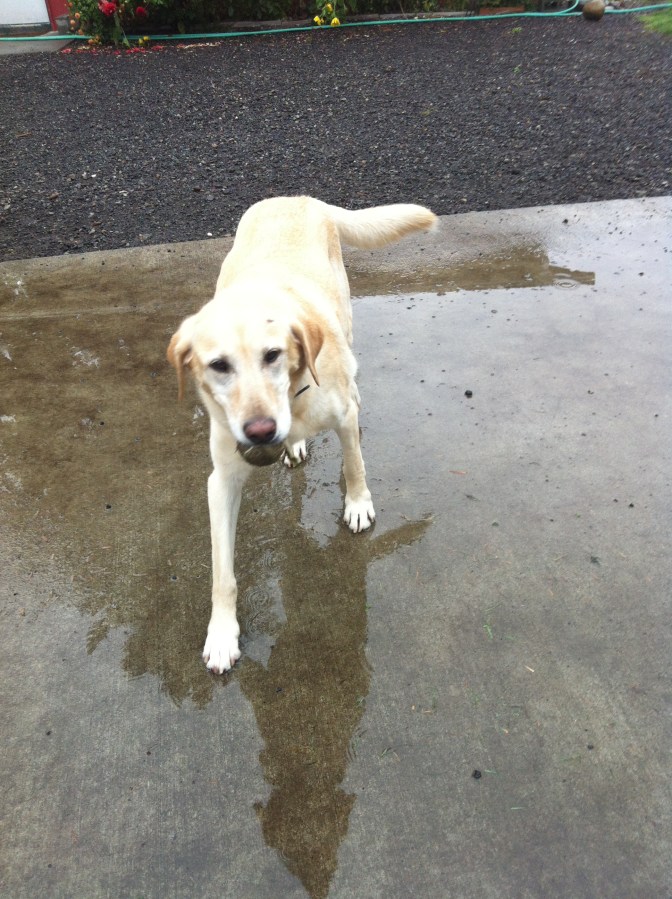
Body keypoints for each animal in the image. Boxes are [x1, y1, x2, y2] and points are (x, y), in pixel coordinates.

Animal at [167, 196, 437, 673]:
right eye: (218, 365)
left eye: (272, 355)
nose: (260, 432)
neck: (292, 401)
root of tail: (297, 198)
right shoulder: (221, 482)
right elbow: (222, 572)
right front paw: (221, 633)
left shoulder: (344, 418)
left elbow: (354, 464)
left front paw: (358, 505)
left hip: (344, 315)